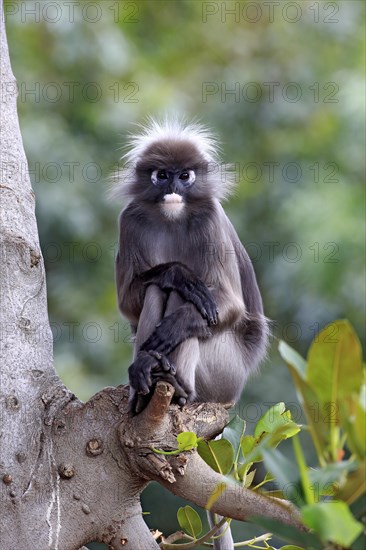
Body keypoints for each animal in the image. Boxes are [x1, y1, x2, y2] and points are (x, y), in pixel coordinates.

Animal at [114, 118, 268, 550]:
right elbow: (131, 300)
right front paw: (176, 271)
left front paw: (177, 322)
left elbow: (228, 305)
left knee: (197, 314)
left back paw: (177, 383)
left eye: (185, 176)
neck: (171, 216)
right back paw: (147, 378)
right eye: (161, 175)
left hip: (225, 373)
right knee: (159, 289)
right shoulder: (130, 219)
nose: (172, 189)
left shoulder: (211, 218)